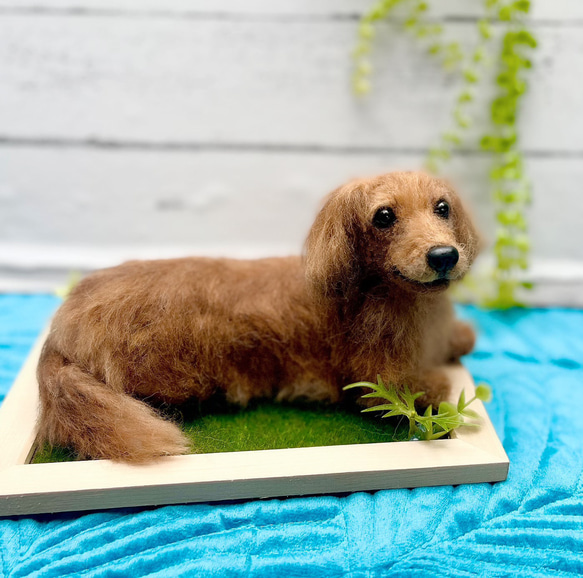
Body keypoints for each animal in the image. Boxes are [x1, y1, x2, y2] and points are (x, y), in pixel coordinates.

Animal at [35, 170, 480, 460]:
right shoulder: (375, 381)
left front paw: (461, 335)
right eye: (384, 216)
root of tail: (60, 329)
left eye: (442, 207)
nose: (444, 256)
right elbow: (422, 387)